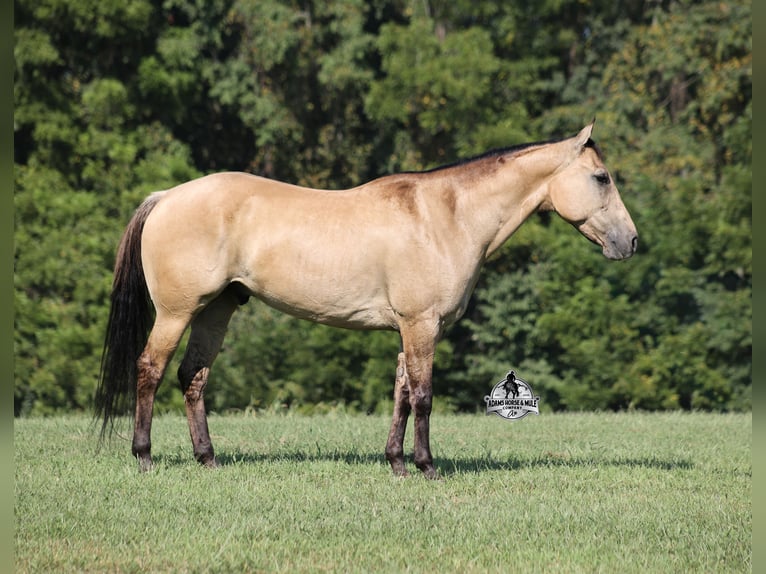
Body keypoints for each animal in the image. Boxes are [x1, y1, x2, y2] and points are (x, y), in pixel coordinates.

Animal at [95, 122, 637, 479]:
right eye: (602, 177)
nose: (630, 242)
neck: (446, 216)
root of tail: (166, 197)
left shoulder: (410, 329)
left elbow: (401, 392)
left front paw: (396, 463)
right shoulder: (421, 325)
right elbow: (423, 395)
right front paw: (426, 466)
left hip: (217, 310)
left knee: (193, 377)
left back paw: (207, 459)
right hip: (177, 312)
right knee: (149, 369)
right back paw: (144, 456)